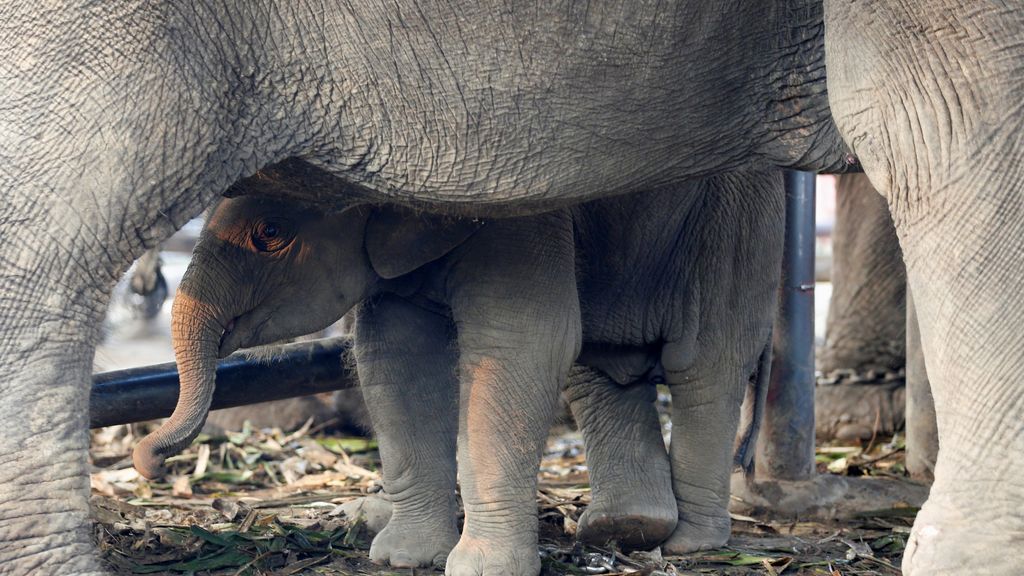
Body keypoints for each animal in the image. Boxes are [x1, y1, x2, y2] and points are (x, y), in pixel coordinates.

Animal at [137, 168, 782, 573]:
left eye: (270, 234)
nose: (148, 462)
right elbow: (392, 356)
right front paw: (404, 557)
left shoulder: (522, 219)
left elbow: (524, 341)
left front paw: (478, 568)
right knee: (602, 366)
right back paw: (623, 528)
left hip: (733, 230)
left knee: (703, 369)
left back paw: (690, 542)